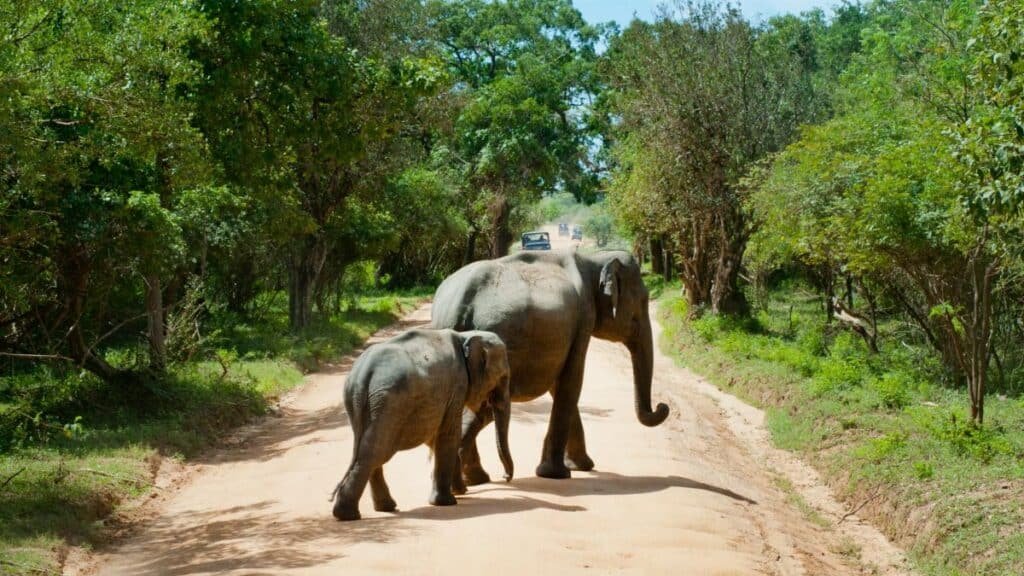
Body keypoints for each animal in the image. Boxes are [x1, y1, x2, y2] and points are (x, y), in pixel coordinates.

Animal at [331, 329, 513, 521]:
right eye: (503, 377)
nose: (505, 477)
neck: (465, 336)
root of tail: (363, 375)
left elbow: (436, 436)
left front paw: (458, 492)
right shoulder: (457, 385)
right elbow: (449, 434)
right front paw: (447, 501)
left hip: (361, 402)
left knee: (369, 449)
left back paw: (380, 508)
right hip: (389, 403)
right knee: (376, 452)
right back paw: (348, 515)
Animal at [430, 250, 669, 484]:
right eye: (643, 301)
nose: (662, 406)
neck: (594, 258)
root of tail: (455, 307)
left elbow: (560, 385)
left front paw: (580, 466)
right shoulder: (583, 317)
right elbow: (572, 381)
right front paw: (557, 473)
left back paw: (476, 479)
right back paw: (475, 478)